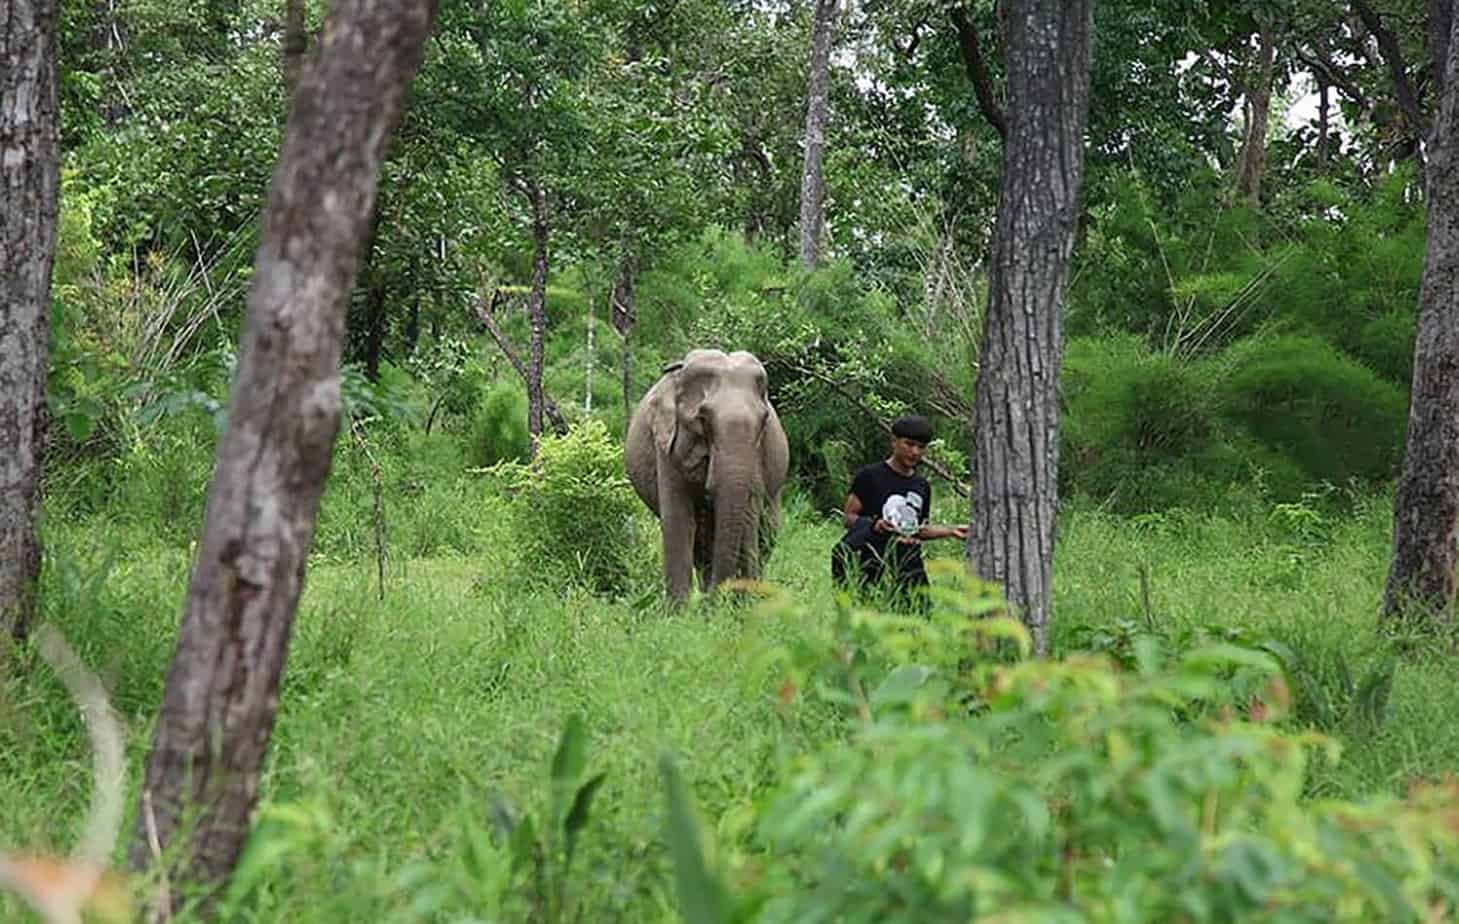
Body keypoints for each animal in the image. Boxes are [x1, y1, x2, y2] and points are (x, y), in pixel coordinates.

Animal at [624, 345, 787, 598]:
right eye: (703, 418)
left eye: (764, 420)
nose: (717, 595)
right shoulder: (667, 446)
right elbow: (678, 520)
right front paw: (681, 609)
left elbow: (748, 517)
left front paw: (743, 603)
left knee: (766, 533)